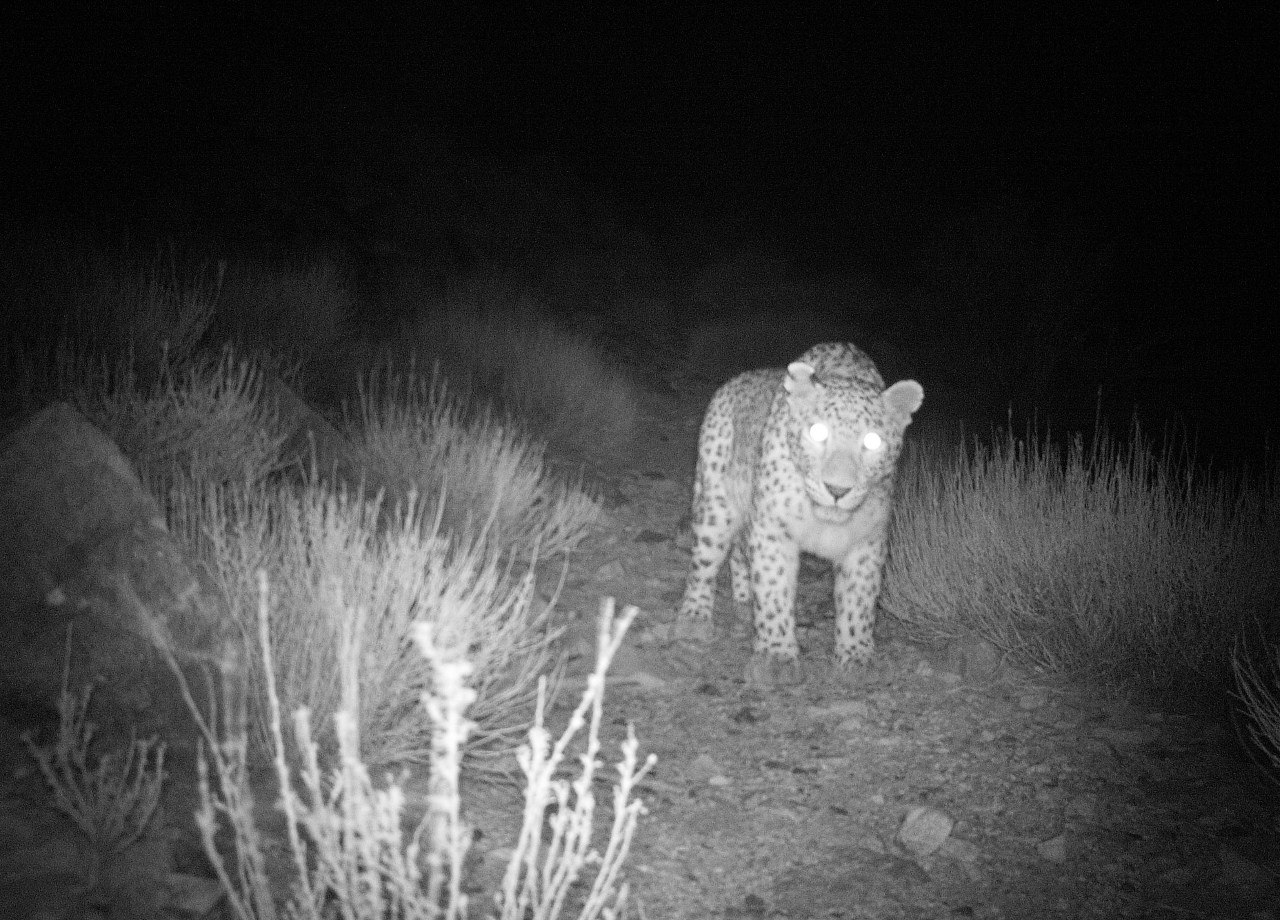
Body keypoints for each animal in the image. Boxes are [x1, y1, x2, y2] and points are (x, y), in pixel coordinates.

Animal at [680, 342, 921, 685]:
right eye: (817, 432)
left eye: (873, 441)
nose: (837, 489)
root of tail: (738, 378)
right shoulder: (773, 531)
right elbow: (774, 591)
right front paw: (776, 657)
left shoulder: (867, 542)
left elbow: (859, 602)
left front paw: (856, 657)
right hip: (716, 504)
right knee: (704, 562)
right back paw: (694, 619)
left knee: (739, 554)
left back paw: (744, 598)